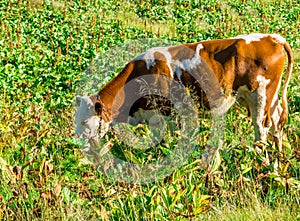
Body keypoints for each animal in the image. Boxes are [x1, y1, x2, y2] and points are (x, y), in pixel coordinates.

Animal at [75, 33, 292, 166]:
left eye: (85, 121)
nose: (75, 140)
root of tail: (271, 37)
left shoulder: (168, 114)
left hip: (261, 96)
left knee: (261, 128)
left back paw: (260, 161)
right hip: (271, 98)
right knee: (277, 123)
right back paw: (278, 158)